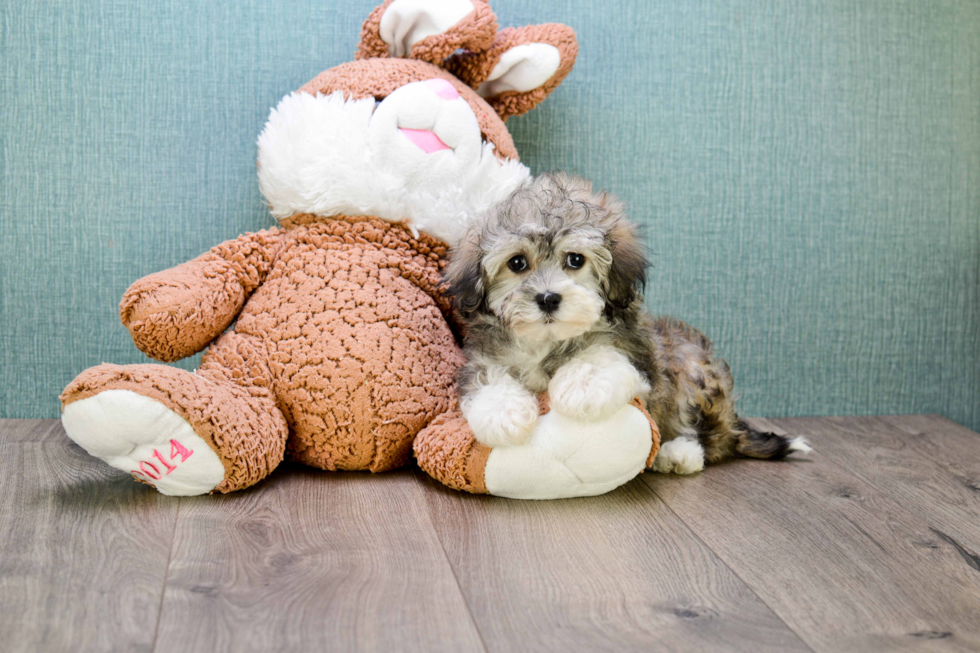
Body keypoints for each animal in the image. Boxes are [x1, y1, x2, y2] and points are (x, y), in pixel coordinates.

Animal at [448, 171, 808, 472]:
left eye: (575, 260)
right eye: (517, 263)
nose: (549, 298)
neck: (549, 341)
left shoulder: (636, 353)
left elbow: (600, 355)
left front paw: (581, 387)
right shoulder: (485, 355)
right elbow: (489, 378)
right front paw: (503, 415)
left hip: (693, 369)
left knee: (707, 437)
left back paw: (678, 454)